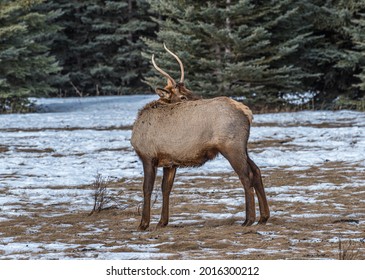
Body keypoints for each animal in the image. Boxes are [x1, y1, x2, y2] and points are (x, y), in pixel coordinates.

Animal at [130, 44, 268, 231]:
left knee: (247, 176)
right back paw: (264, 217)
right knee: (257, 170)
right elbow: (166, 188)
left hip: (231, 147)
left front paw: (143, 223)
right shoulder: (170, 162)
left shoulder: (147, 156)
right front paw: (162, 222)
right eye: (182, 95)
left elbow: (147, 188)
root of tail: (247, 112)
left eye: (189, 91)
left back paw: (248, 219)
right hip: (242, 147)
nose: (199, 98)